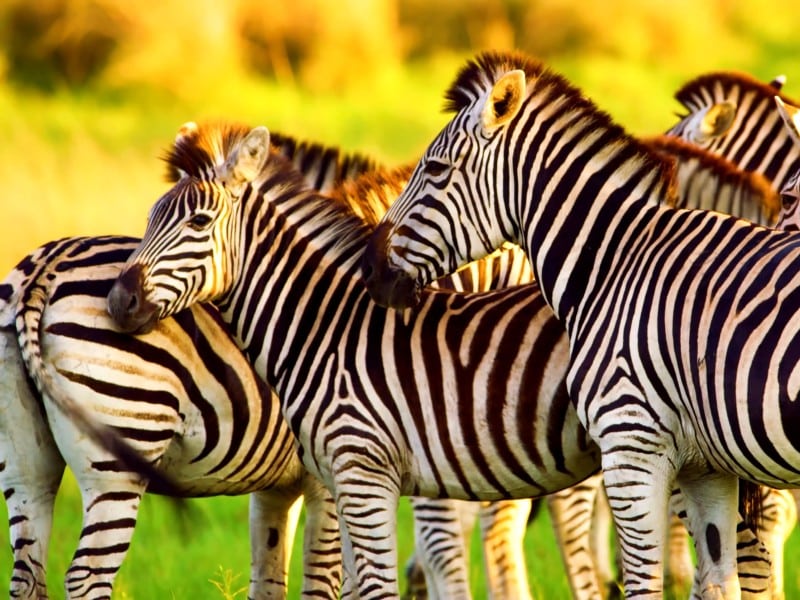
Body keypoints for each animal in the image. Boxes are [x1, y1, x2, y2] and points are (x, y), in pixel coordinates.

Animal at [103, 119, 780, 599]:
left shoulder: (368, 472)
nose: (117, 299)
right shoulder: (346, 479)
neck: (326, 324)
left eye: (198, 221)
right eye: (150, 218)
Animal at [360, 50, 800, 598]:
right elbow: (723, 577)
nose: (369, 268)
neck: (615, 262)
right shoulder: (706, 461)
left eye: (436, 168)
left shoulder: (632, 444)